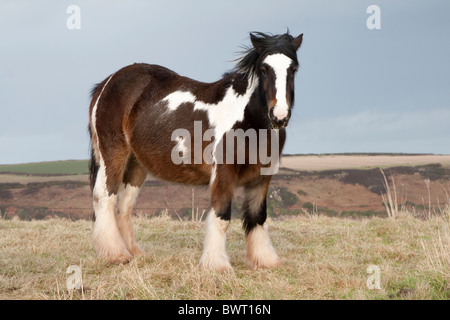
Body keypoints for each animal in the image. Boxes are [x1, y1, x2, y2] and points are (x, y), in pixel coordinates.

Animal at [89, 31, 302, 270]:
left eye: (293, 68)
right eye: (264, 68)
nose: (279, 116)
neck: (248, 121)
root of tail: (107, 83)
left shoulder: (262, 177)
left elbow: (258, 217)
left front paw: (265, 260)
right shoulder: (224, 173)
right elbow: (221, 216)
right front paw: (217, 265)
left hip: (136, 164)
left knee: (124, 206)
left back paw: (133, 253)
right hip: (113, 154)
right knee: (104, 197)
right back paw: (115, 254)